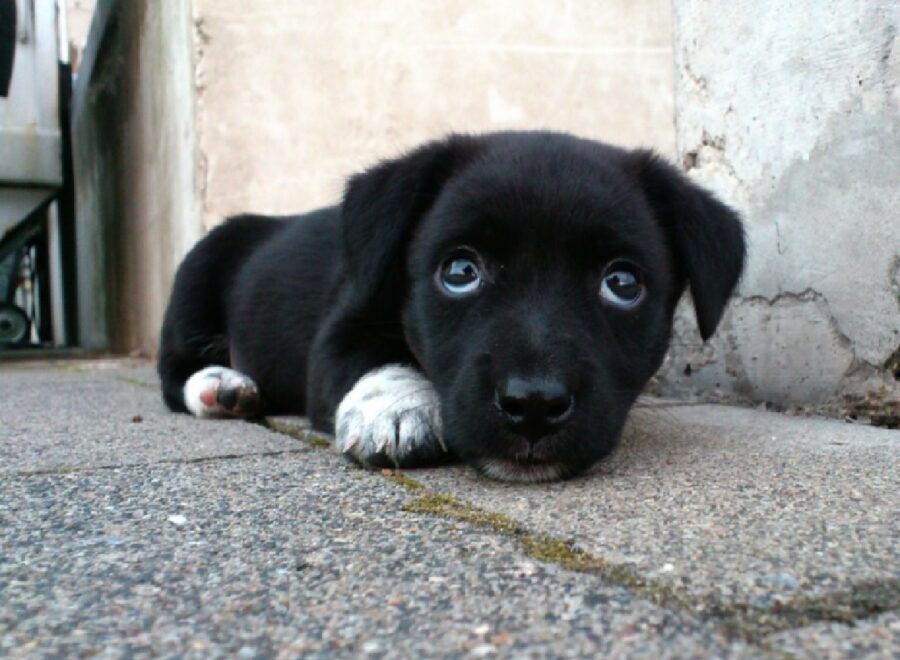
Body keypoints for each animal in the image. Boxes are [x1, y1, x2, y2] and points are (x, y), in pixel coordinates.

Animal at [156, 131, 744, 482]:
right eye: (460, 272)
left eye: (622, 283)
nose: (533, 405)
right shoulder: (339, 332)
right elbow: (376, 358)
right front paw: (397, 409)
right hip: (195, 272)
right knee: (173, 372)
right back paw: (222, 386)